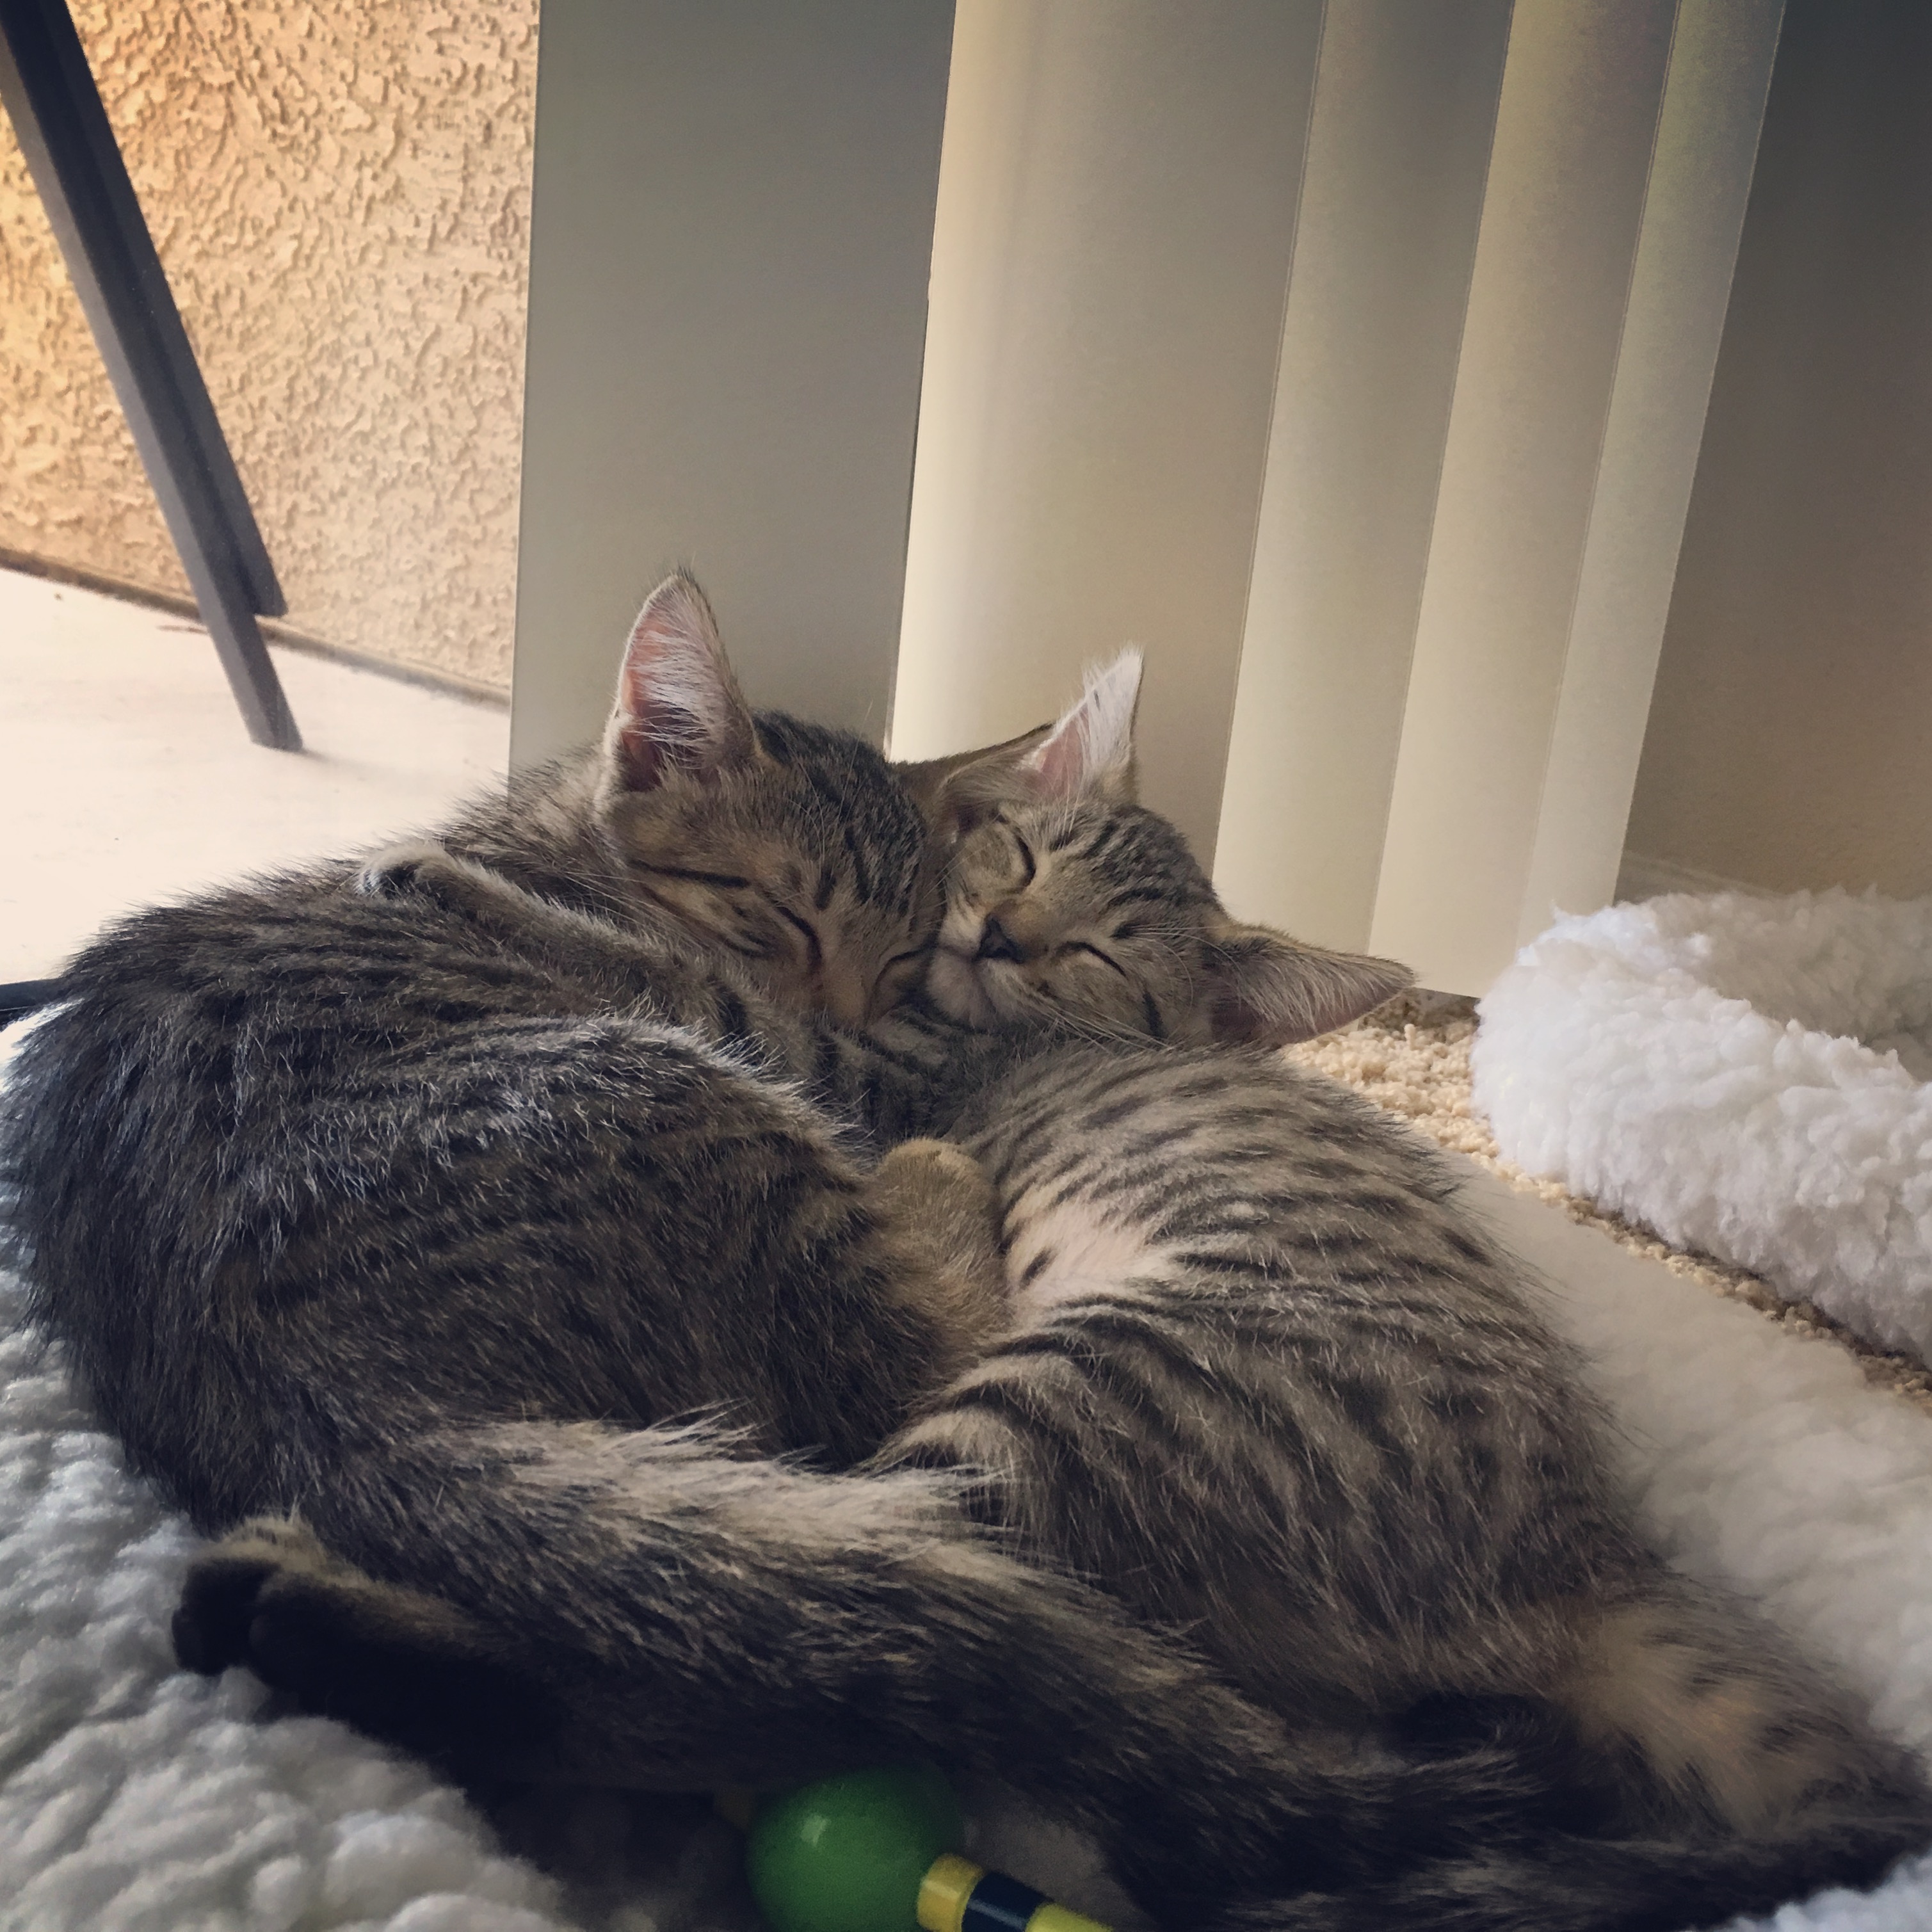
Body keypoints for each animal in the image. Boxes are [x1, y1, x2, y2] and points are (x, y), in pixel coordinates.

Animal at [163, 654, 1931, 1931]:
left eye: (1094, 954)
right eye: (1011, 848)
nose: (1001, 935)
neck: (967, 1022)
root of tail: (1578, 1545)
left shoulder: (844, 1060)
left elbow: (692, 981)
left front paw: (466, 890)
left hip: (1047, 1422)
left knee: (830, 1661)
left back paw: (310, 1613)